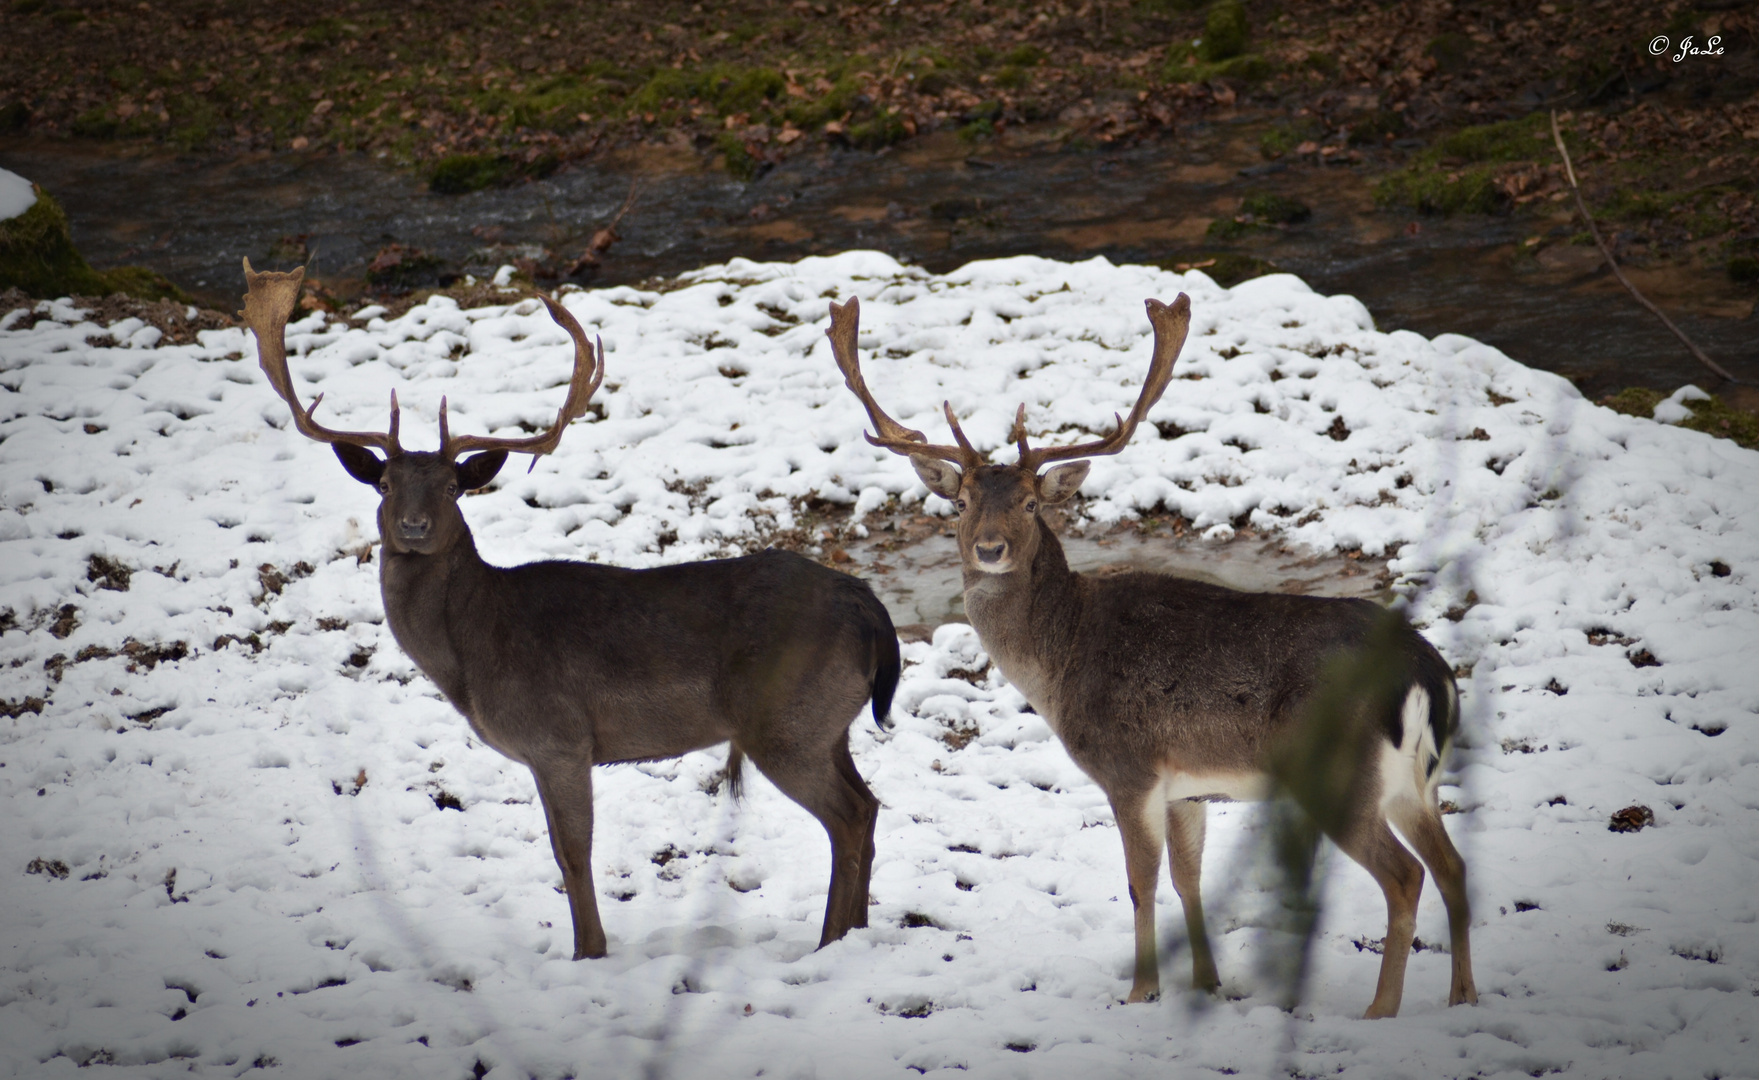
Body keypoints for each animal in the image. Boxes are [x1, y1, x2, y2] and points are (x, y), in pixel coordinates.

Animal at [240, 262, 900, 963]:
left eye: (452, 486)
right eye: (385, 483)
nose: (414, 528)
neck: (472, 658)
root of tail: (868, 606)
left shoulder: (559, 735)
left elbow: (572, 855)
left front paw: (589, 953)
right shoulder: (544, 751)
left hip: (786, 721)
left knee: (848, 816)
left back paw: (830, 941)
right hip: (830, 722)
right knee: (870, 804)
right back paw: (854, 931)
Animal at [823, 293, 1470, 1013]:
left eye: (1029, 502)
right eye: (960, 502)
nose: (989, 549)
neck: (1060, 664)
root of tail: (1427, 673)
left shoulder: (1127, 768)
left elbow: (1140, 882)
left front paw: (1141, 990)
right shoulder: (1187, 787)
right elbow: (1188, 878)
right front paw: (1207, 982)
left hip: (1340, 773)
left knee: (1405, 877)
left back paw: (1380, 1009)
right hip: (1416, 782)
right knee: (1452, 868)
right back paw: (1462, 997)